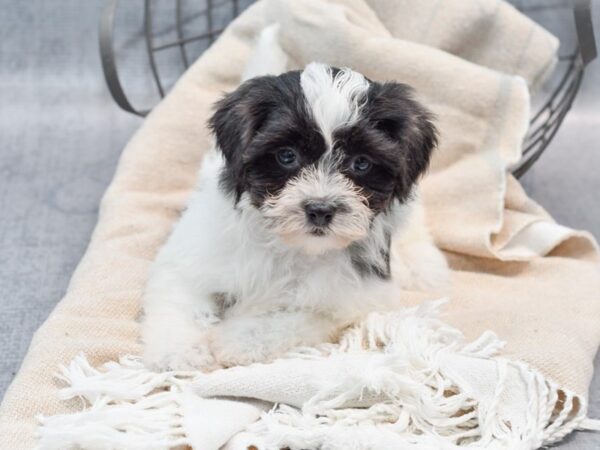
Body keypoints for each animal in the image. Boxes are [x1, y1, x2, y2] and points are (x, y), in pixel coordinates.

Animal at [143, 64, 448, 372]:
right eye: (287, 156)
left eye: (361, 163)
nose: (320, 210)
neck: (291, 247)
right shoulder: (191, 257)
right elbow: (181, 300)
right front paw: (181, 352)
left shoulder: (349, 297)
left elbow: (293, 318)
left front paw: (241, 342)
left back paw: (425, 269)